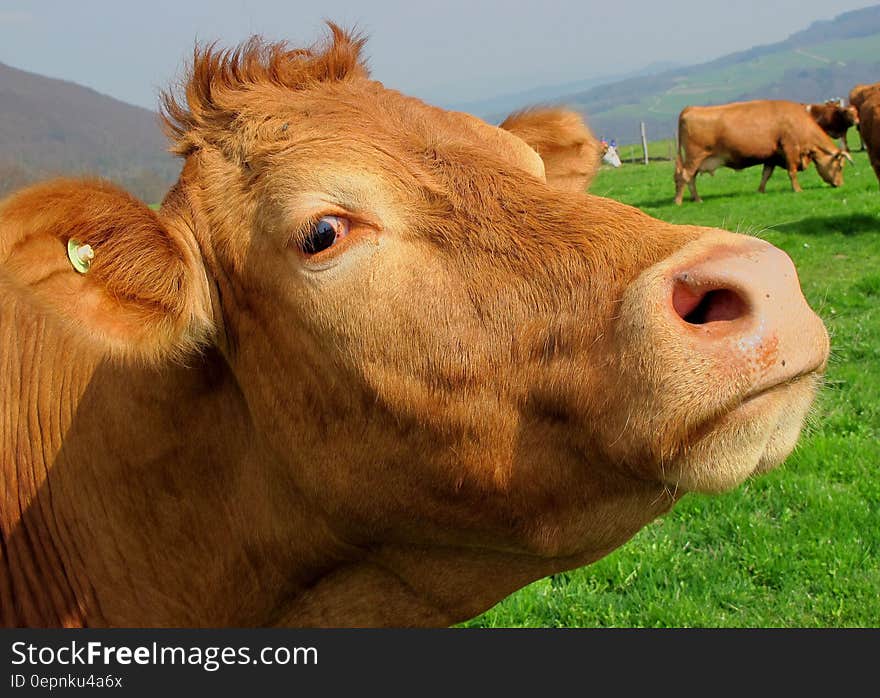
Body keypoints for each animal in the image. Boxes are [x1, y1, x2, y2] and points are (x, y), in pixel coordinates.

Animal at [672, 99, 852, 205]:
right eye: (840, 166)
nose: (840, 184)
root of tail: (690, 109)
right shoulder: (790, 148)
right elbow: (792, 172)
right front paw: (798, 190)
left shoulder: (771, 156)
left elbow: (766, 174)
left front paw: (761, 191)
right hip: (695, 157)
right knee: (685, 176)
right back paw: (681, 201)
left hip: (696, 160)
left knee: (690, 178)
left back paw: (695, 199)